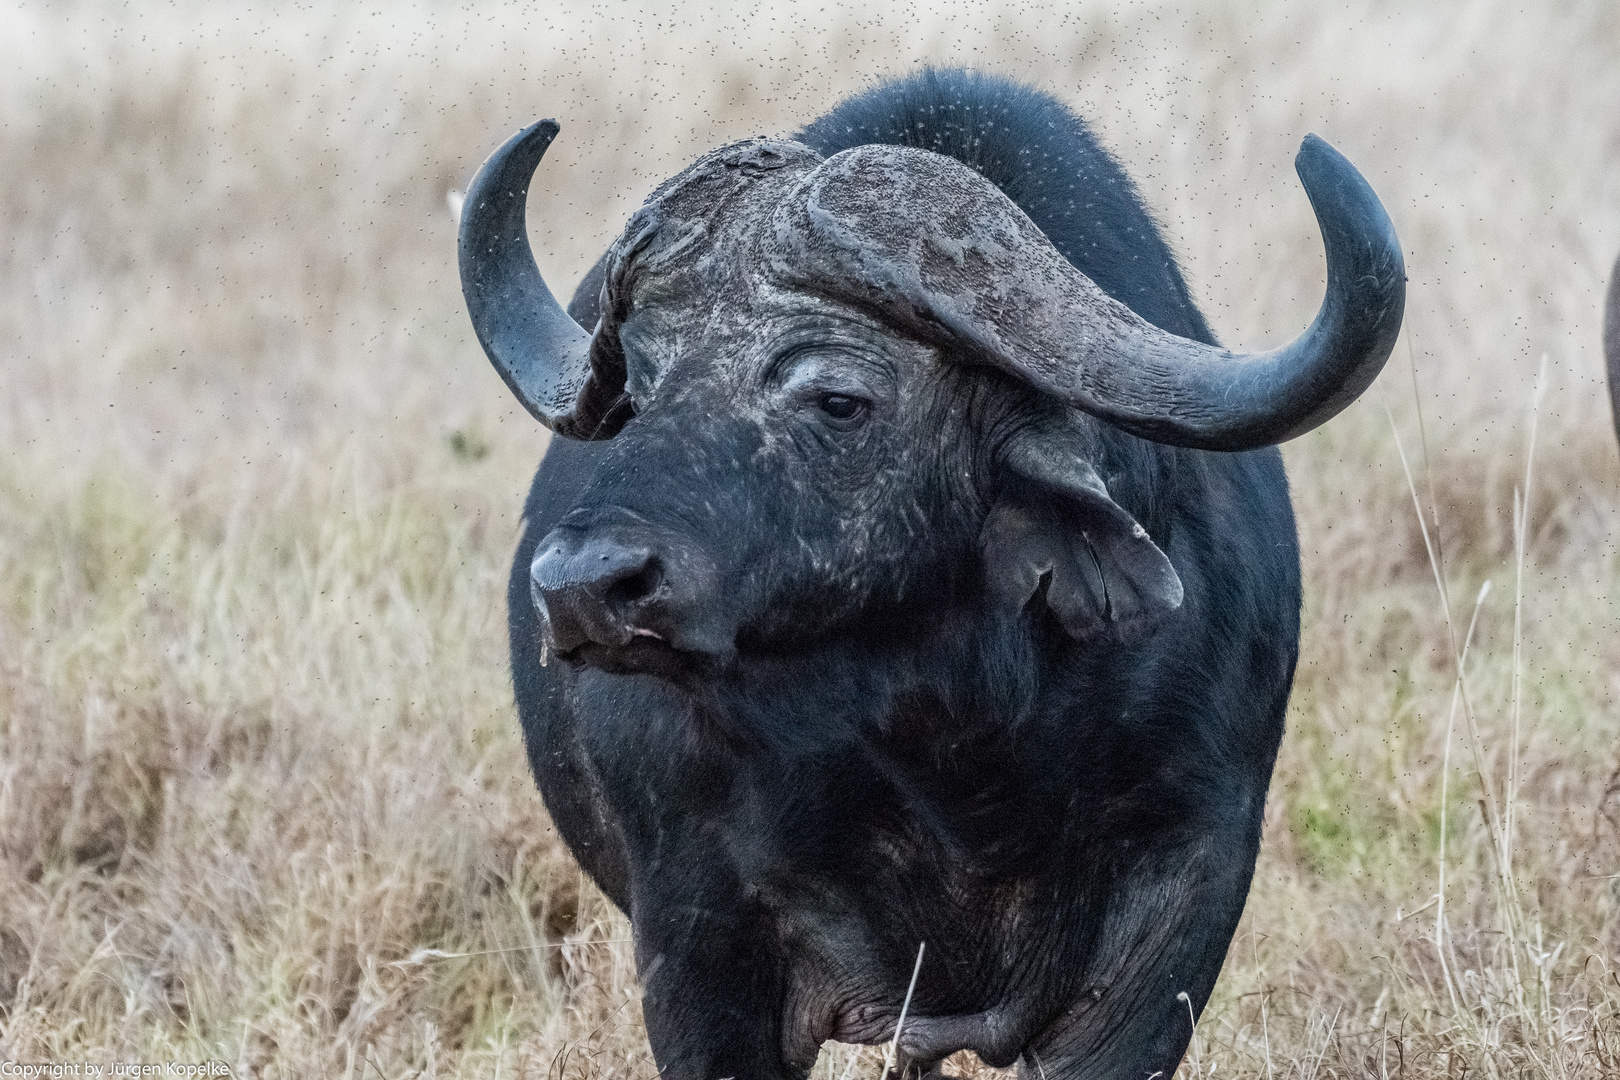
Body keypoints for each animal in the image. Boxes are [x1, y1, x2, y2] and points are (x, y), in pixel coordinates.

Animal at [456, 71, 1406, 1075]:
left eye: (838, 399)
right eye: (636, 391)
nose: (581, 585)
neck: (952, 737)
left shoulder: (1184, 895)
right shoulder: (690, 926)